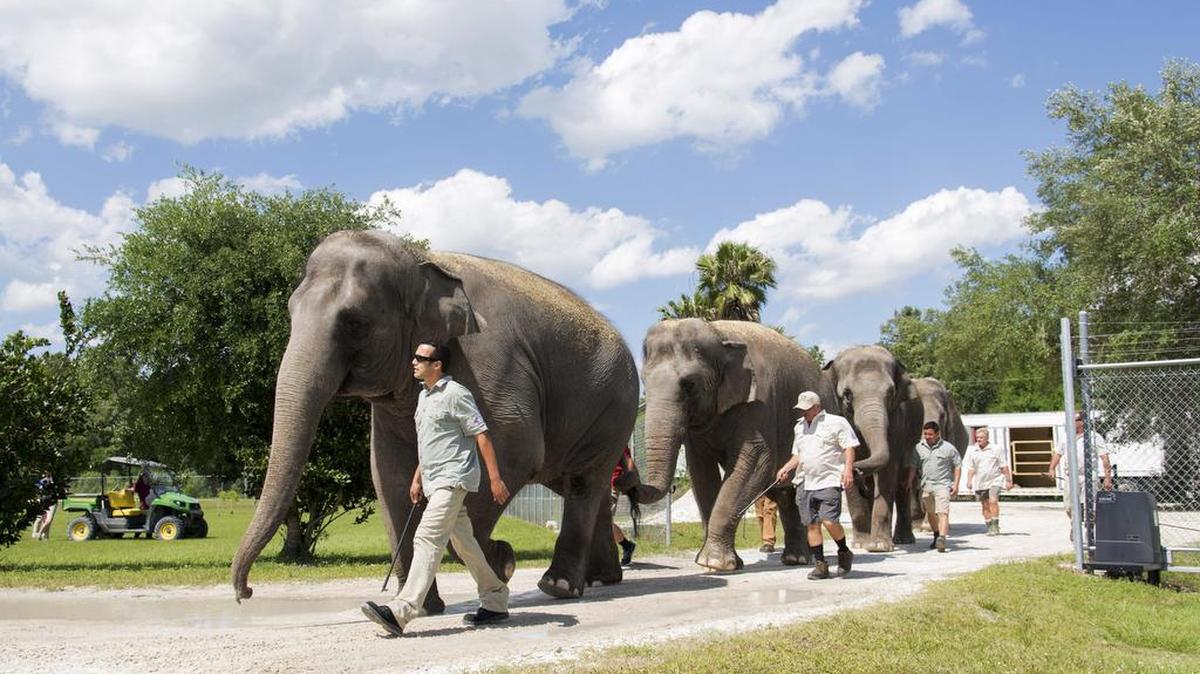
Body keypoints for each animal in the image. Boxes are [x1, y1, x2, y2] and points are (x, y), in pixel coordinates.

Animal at [231, 230, 639, 606]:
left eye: (354, 321)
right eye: (290, 311)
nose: (245, 592)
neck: (421, 260)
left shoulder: (491, 361)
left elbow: (514, 450)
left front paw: (501, 559)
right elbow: (388, 470)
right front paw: (425, 606)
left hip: (614, 407)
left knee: (585, 483)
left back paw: (558, 586)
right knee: (582, 486)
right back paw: (601, 579)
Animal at [635, 319, 829, 572]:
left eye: (689, 384)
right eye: (644, 382)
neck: (720, 335)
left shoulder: (761, 401)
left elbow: (756, 460)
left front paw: (715, 563)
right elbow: (701, 471)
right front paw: (711, 561)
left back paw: (800, 559)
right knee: (786, 494)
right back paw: (794, 559)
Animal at [822, 346, 923, 552]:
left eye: (891, 393)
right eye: (847, 394)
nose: (857, 470)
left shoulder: (896, 424)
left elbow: (888, 472)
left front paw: (878, 546)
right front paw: (861, 544)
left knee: (901, 485)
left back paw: (902, 540)